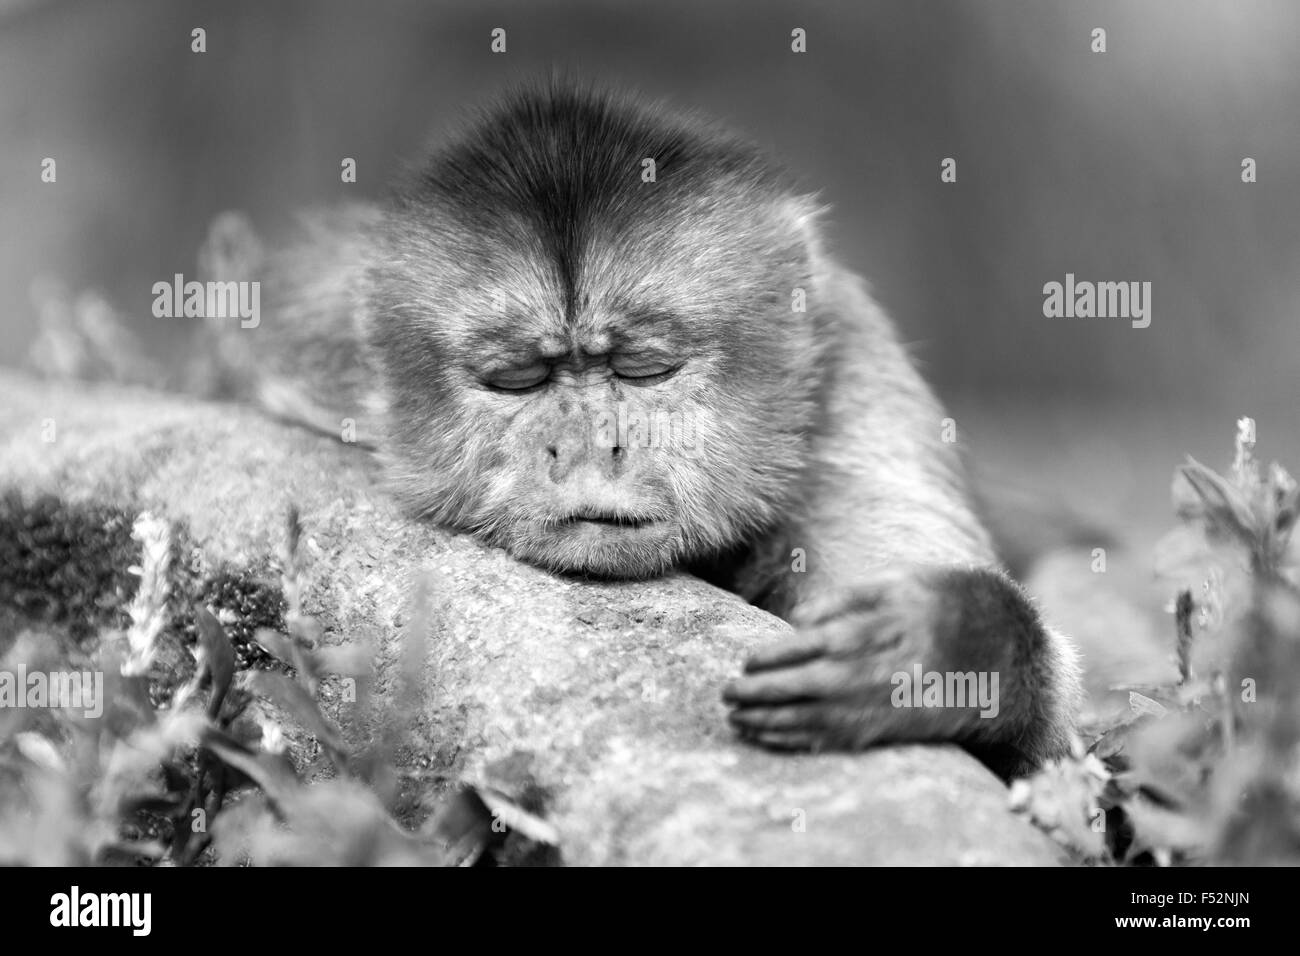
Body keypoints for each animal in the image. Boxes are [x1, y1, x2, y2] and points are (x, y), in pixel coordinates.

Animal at [208, 83, 1081, 785]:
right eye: (517, 380)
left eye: (643, 370)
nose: (589, 447)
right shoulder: (306, 338)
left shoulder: (856, 381)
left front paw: (939, 648)